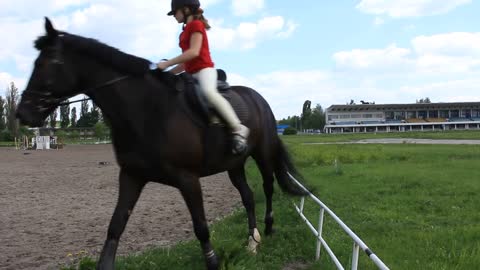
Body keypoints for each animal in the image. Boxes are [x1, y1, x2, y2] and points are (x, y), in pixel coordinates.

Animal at [16, 18, 308, 270]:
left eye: (47, 63)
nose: (22, 113)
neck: (148, 111)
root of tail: (259, 99)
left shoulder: (188, 179)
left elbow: (201, 226)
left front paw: (213, 263)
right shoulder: (131, 175)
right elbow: (116, 225)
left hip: (263, 154)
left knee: (268, 187)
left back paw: (268, 228)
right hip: (234, 164)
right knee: (247, 196)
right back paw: (252, 240)